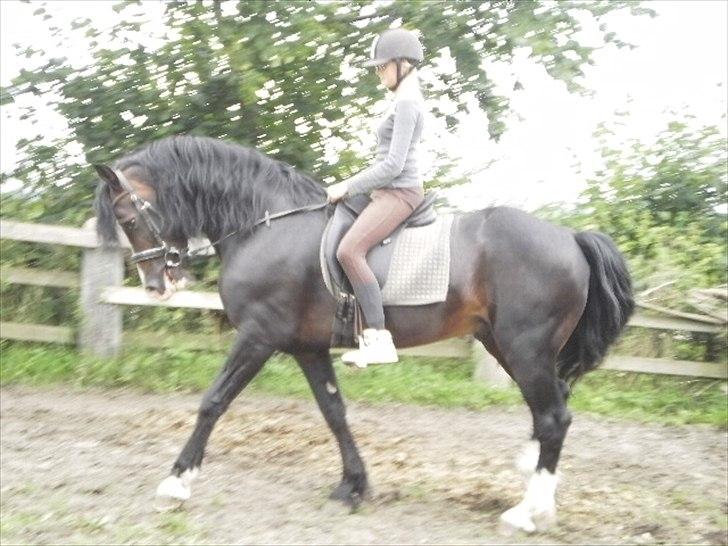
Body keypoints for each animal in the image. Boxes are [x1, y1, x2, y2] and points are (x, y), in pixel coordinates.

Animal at [94, 133, 636, 532]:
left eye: (127, 216)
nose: (156, 286)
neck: (266, 226)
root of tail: (570, 237)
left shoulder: (258, 336)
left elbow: (213, 401)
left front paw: (176, 482)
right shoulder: (307, 348)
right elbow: (334, 412)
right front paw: (353, 486)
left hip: (526, 348)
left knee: (553, 417)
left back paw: (526, 512)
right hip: (506, 345)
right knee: (550, 410)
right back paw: (536, 487)